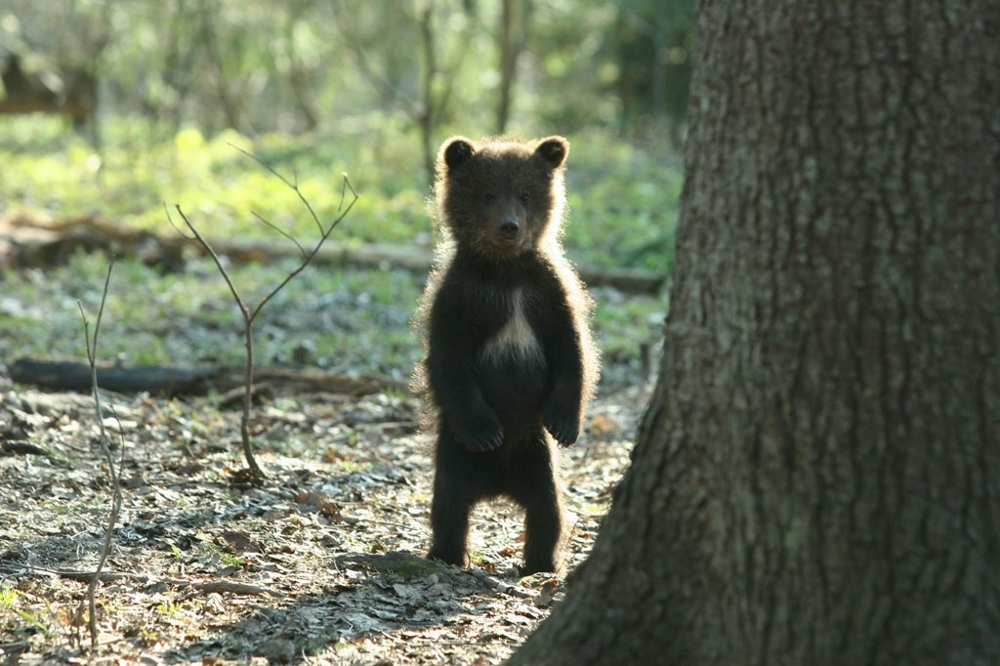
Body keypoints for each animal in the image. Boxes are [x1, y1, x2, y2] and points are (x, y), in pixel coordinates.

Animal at [414, 134, 600, 572]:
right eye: (487, 194)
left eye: (525, 195)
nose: (509, 226)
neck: (505, 272)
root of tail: (497, 485)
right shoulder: (459, 298)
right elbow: (449, 359)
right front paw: (486, 430)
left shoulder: (547, 291)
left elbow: (572, 348)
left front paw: (566, 424)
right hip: (455, 453)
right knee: (449, 506)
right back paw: (447, 554)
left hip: (535, 456)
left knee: (548, 511)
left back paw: (541, 563)